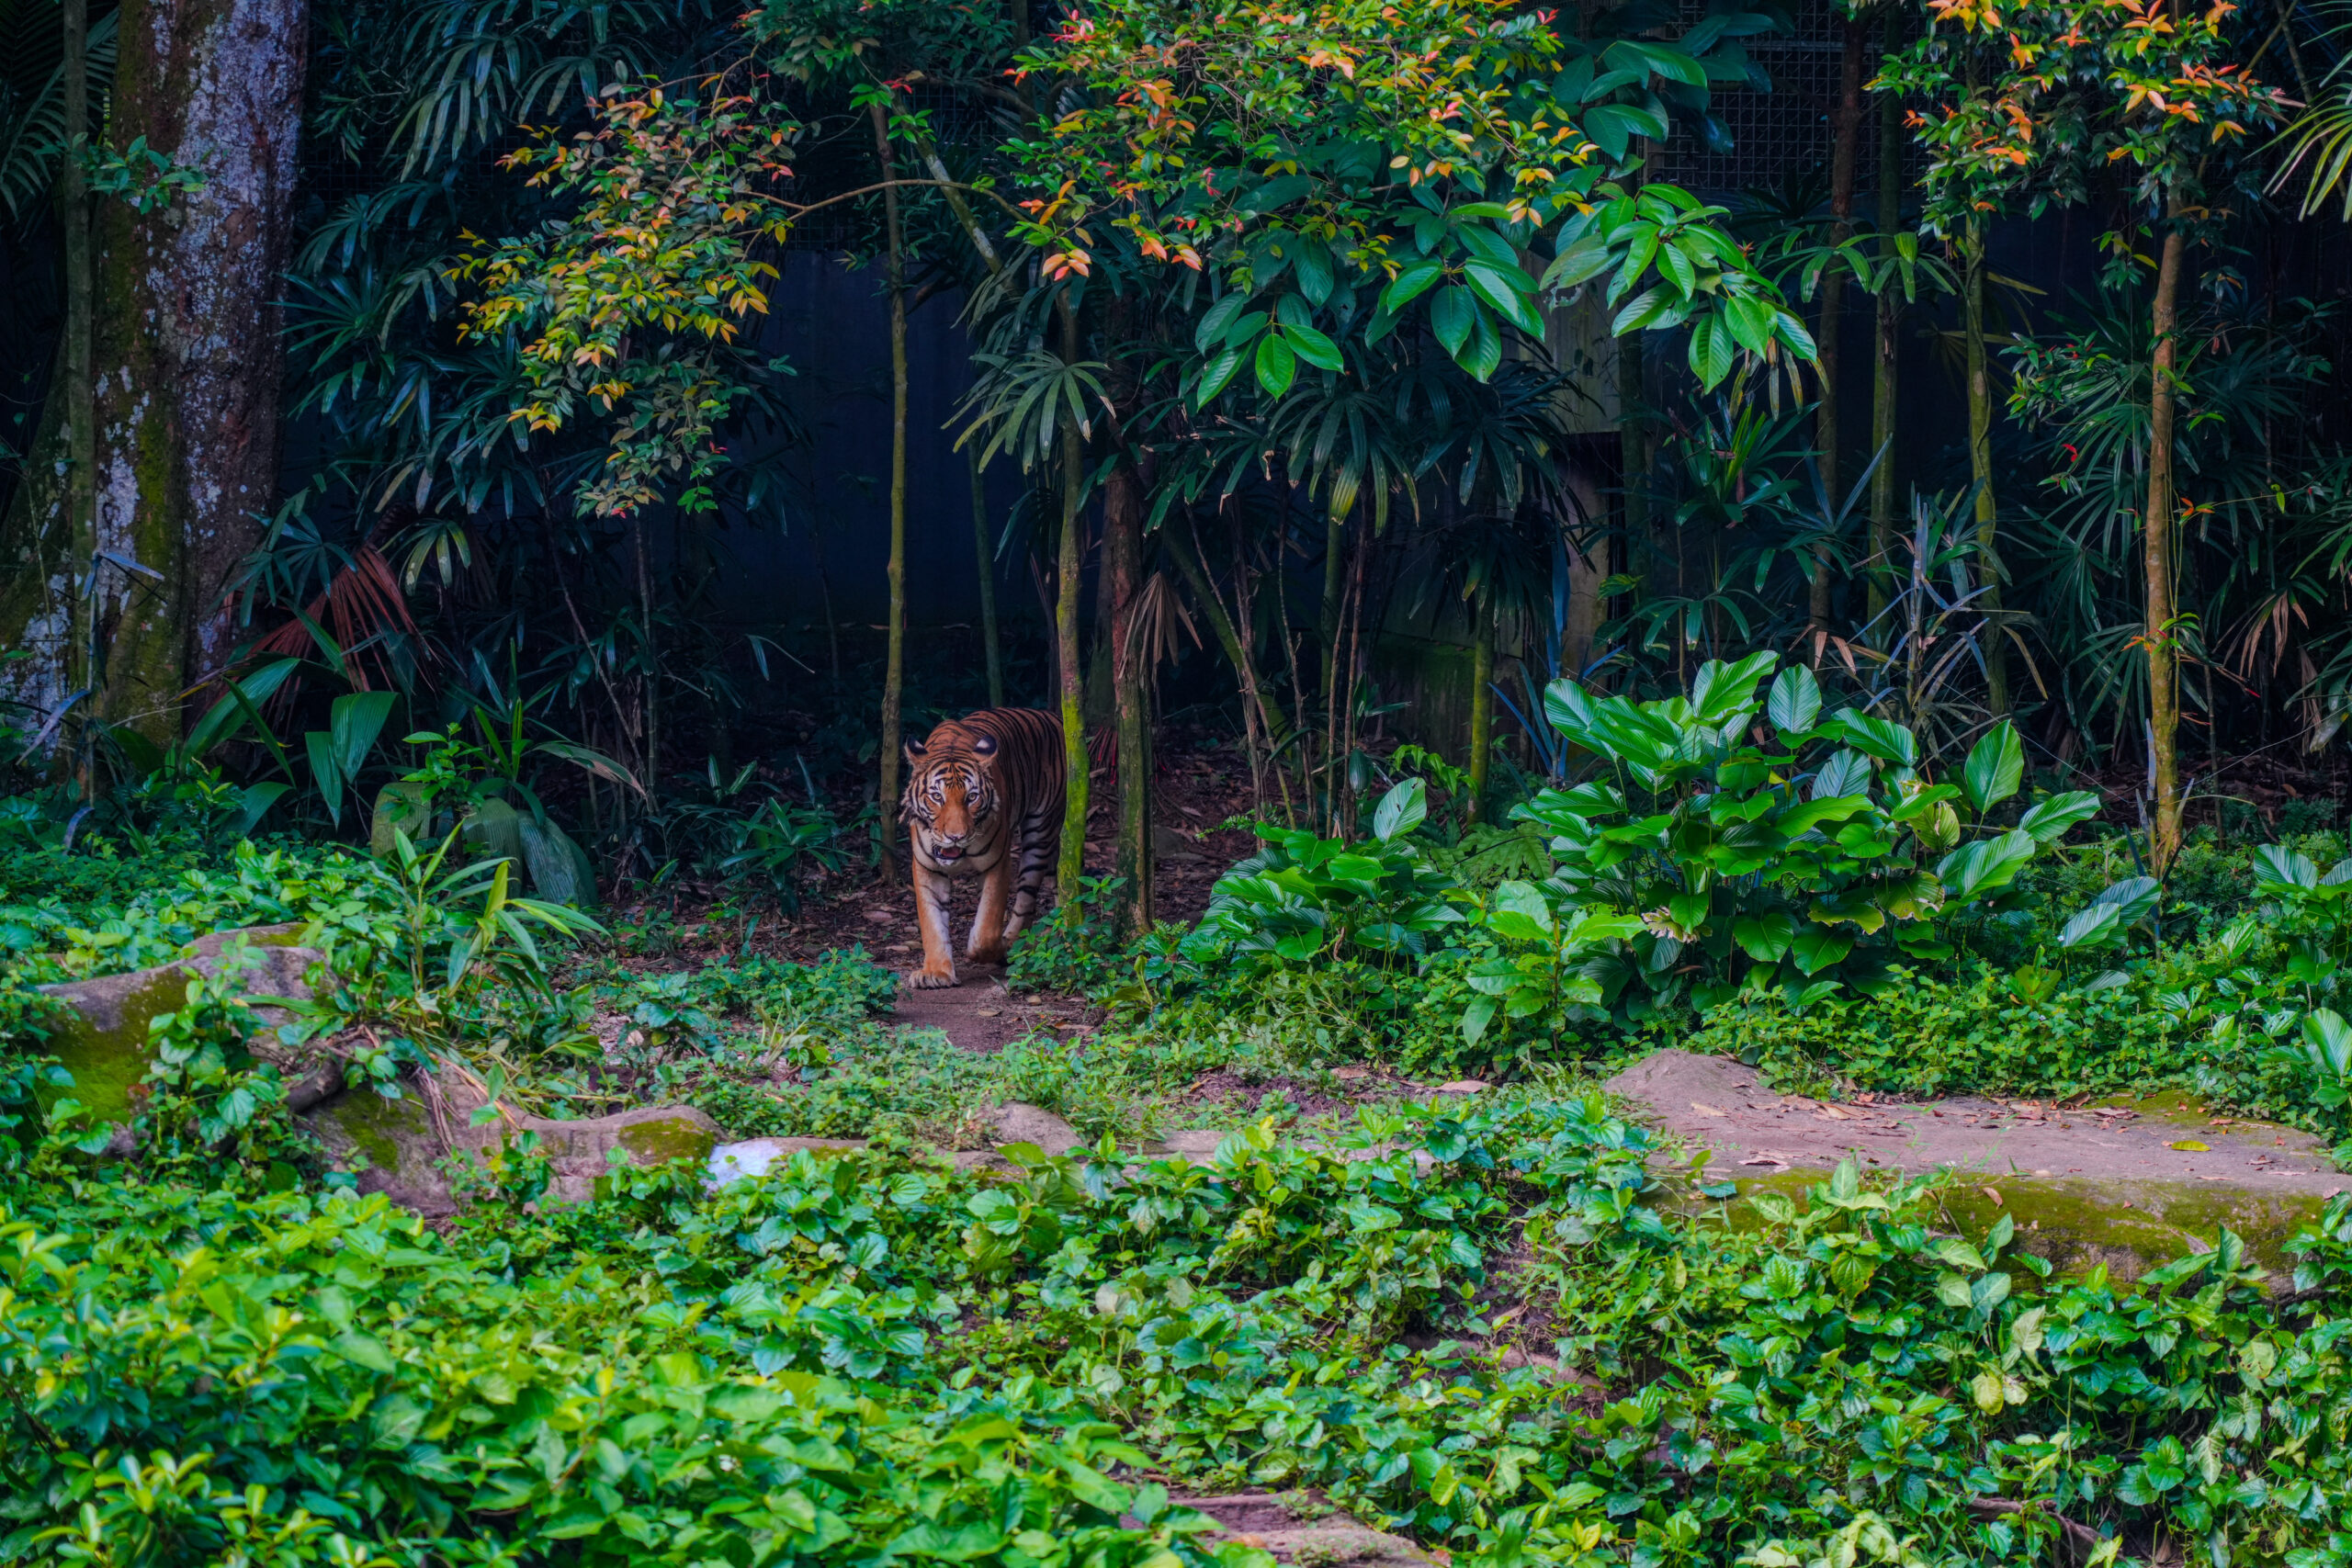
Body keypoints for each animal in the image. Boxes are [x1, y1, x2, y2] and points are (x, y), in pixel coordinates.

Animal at [898, 707, 1067, 988]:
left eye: (972, 797)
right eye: (937, 797)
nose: (955, 836)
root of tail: (1052, 715)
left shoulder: (997, 862)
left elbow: (987, 927)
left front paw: (993, 949)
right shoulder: (927, 868)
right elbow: (932, 922)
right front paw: (936, 972)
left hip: (1040, 830)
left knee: (1027, 899)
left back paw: (1011, 946)